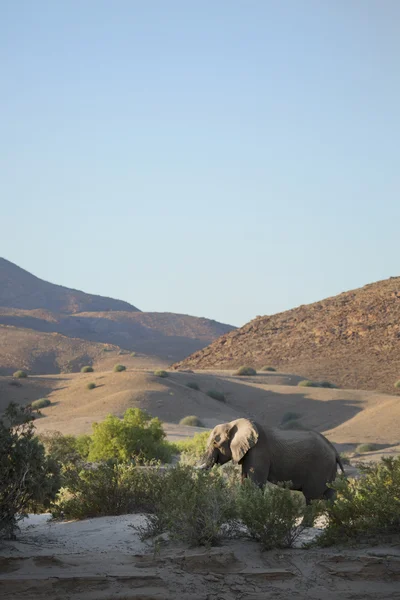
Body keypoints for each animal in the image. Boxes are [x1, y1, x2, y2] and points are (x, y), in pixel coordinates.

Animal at [198, 418, 346, 506]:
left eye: (215, 443)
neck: (234, 424)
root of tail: (335, 452)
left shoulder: (259, 451)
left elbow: (255, 484)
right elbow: (245, 481)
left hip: (320, 467)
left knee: (313, 498)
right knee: (328, 495)